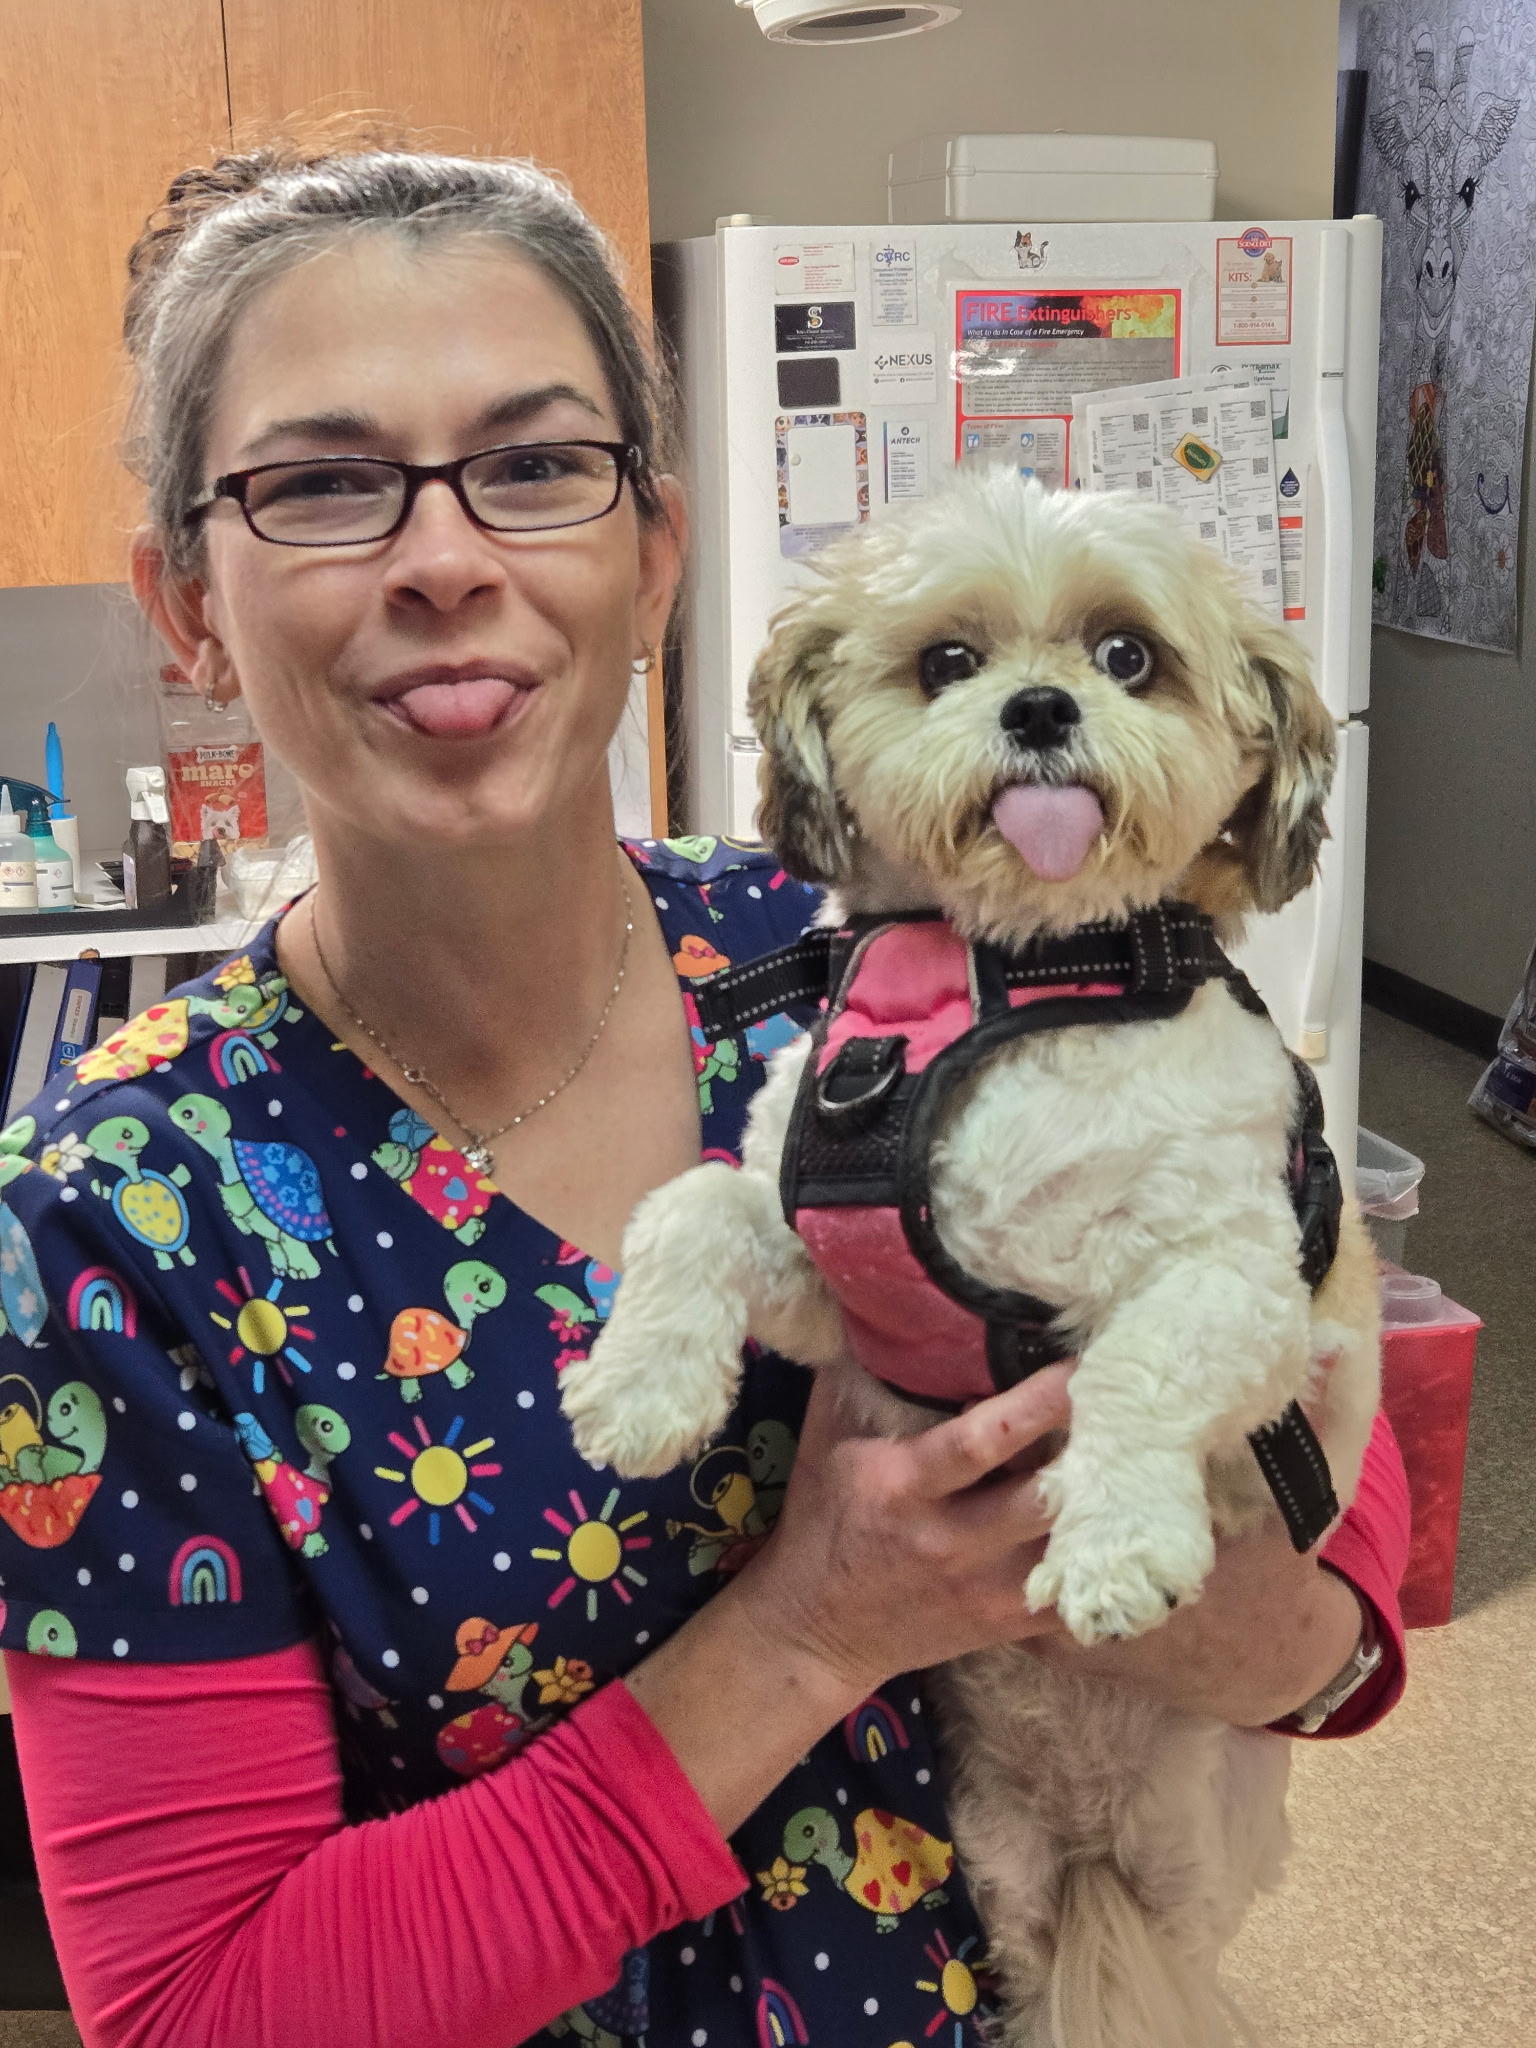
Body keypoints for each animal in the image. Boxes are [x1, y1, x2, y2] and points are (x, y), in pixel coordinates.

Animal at [562, 473, 1381, 2046]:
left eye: (1129, 657)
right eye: (949, 662)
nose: (1044, 706)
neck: (1021, 978)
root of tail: (1091, 1845)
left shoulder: (1242, 1284)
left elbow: (1133, 1366)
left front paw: (1118, 1540)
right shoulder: (828, 1259)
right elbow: (689, 1207)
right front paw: (640, 1387)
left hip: (1197, 1845)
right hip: (997, 1853)